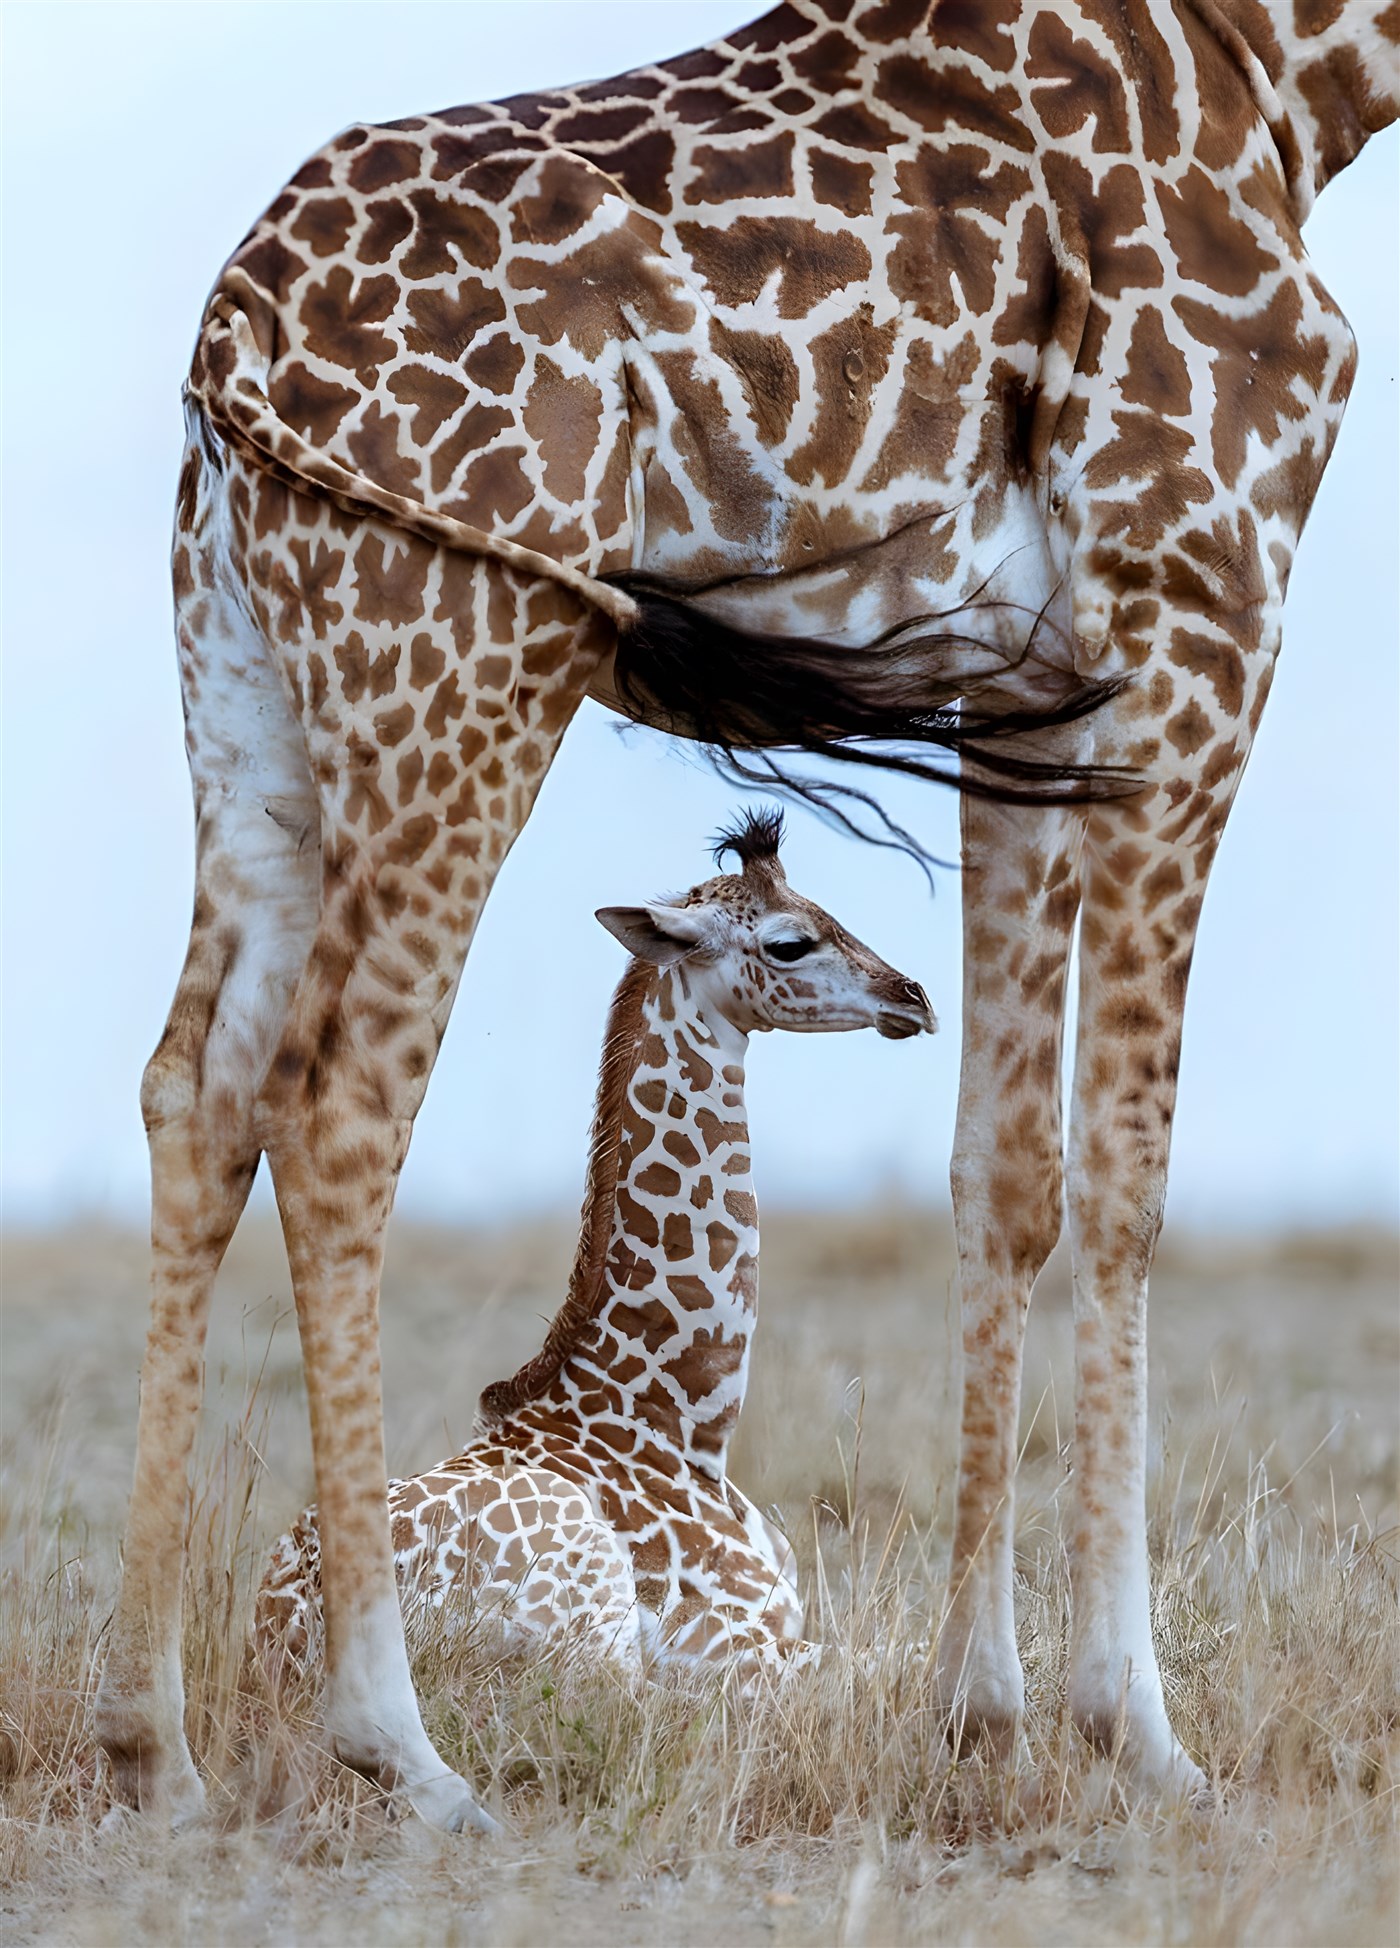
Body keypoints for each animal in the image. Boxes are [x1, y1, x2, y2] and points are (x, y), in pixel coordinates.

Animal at [253, 808, 934, 1692]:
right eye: (789, 943)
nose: (913, 997)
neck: (685, 1425)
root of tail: (288, 1650)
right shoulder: (729, 1637)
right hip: (593, 1615)